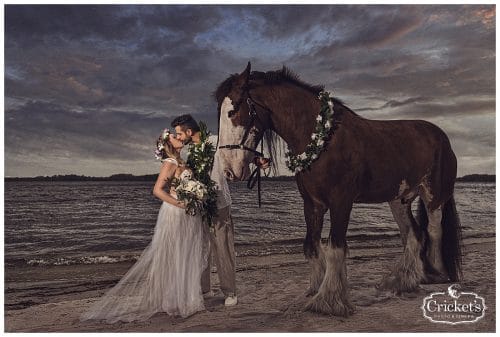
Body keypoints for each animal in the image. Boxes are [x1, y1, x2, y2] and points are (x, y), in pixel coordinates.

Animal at [215, 62, 460, 316]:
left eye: (233, 111)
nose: (229, 169)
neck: (322, 139)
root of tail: (441, 137)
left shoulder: (341, 201)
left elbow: (335, 246)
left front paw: (330, 300)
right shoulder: (312, 204)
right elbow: (312, 246)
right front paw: (316, 289)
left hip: (434, 196)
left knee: (433, 230)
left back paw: (437, 275)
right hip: (399, 200)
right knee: (413, 235)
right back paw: (402, 280)